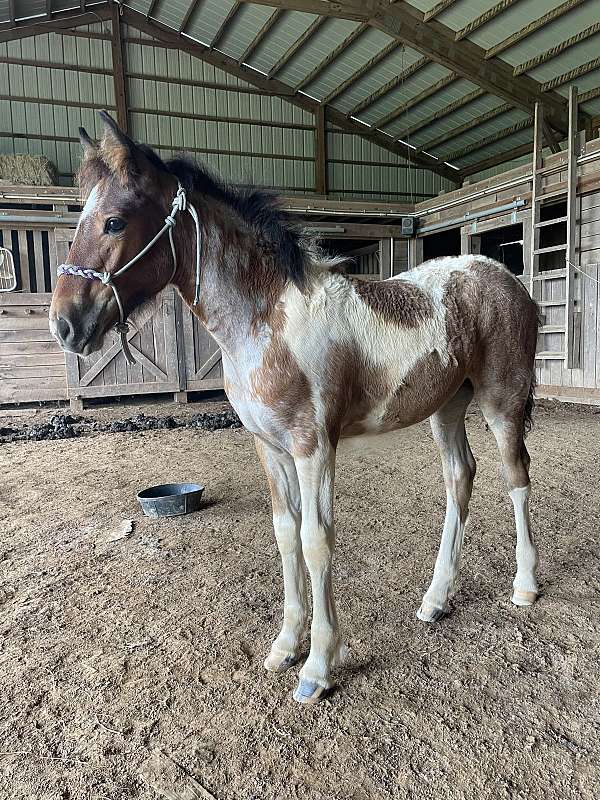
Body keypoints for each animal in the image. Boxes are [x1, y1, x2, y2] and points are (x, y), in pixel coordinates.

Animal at [50, 114, 540, 708]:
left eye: (115, 221)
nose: (65, 324)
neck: (268, 320)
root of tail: (509, 279)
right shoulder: (270, 447)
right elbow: (286, 534)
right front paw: (286, 646)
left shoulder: (313, 446)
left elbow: (315, 539)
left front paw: (318, 667)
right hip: (447, 408)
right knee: (459, 479)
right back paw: (436, 598)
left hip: (501, 402)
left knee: (516, 477)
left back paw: (525, 585)